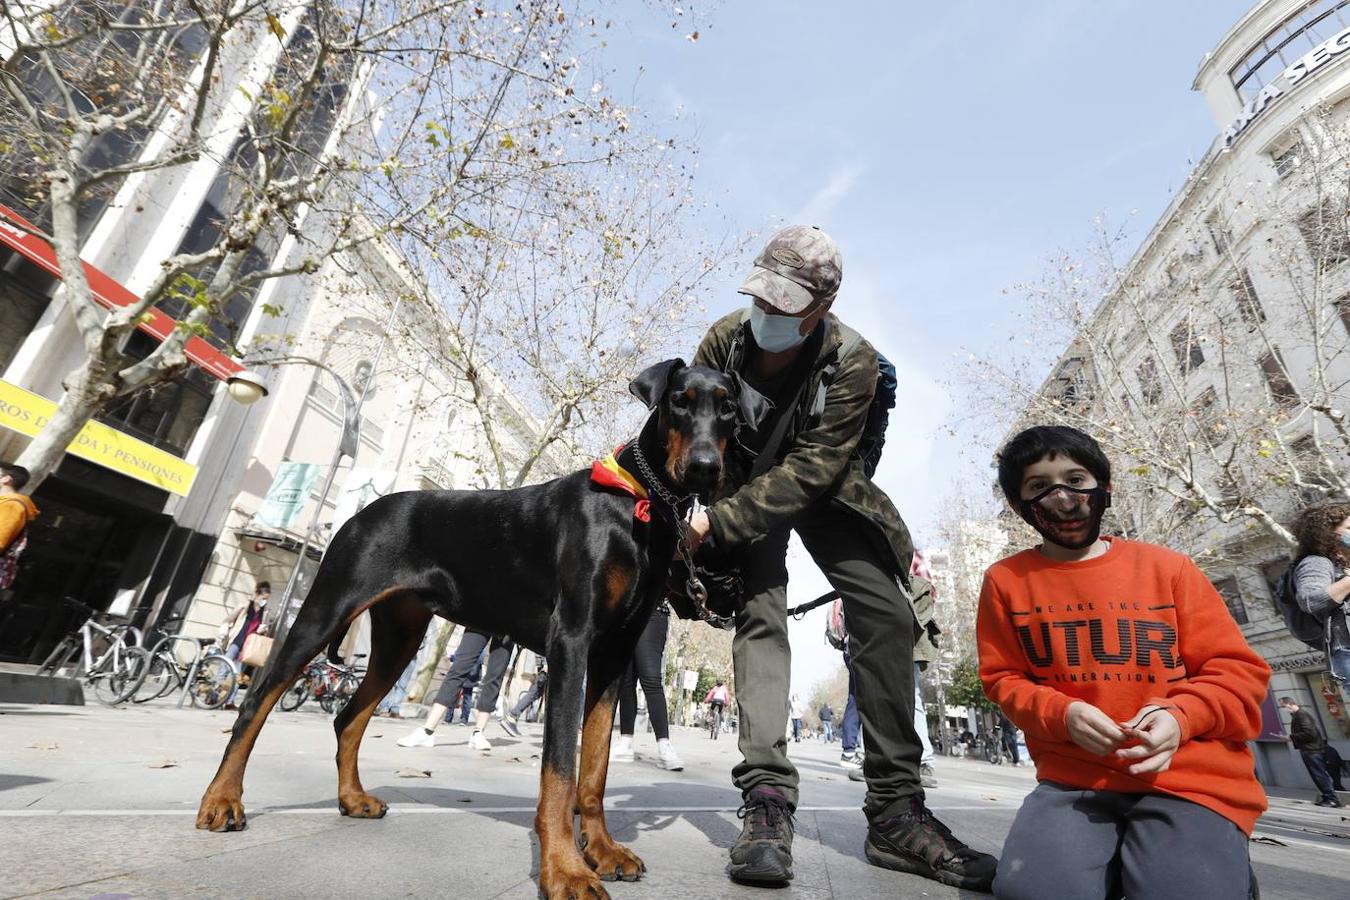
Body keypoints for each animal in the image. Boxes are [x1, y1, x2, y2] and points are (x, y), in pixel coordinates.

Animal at [197, 358, 772, 900]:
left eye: (727, 409)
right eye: (679, 401)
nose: (705, 467)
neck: (636, 502)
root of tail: (365, 511)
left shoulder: (615, 655)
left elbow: (595, 766)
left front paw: (603, 850)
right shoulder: (572, 643)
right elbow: (560, 770)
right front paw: (565, 870)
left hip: (400, 638)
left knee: (348, 718)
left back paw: (352, 799)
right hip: (326, 609)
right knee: (256, 703)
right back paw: (222, 801)